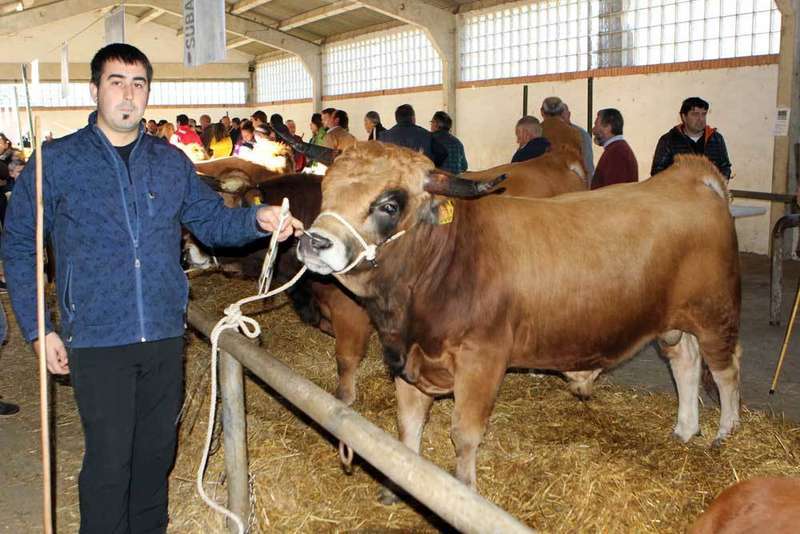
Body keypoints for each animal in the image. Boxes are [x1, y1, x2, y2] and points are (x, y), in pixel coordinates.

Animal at [296, 142, 742, 498]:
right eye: (326, 188)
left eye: (389, 204)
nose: (313, 242)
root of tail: (691, 174)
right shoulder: (406, 359)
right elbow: (407, 428)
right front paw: (398, 486)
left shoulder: (483, 361)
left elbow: (464, 434)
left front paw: (464, 492)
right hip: (672, 321)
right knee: (685, 362)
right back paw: (685, 429)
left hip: (716, 313)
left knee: (725, 370)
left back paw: (724, 433)